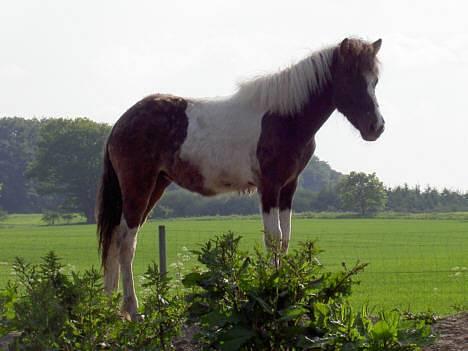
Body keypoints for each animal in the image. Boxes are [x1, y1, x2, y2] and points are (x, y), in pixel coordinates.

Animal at [95, 37, 384, 320]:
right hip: (139, 186)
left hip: (156, 185)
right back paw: (133, 311)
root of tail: (121, 122)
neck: (284, 117)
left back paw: (109, 309)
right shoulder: (269, 187)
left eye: (375, 81)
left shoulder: (288, 188)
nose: (377, 127)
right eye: (352, 79)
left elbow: (285, 239)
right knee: (126, 242)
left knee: (115, 239)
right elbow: (274, 238)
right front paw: (273, 293)